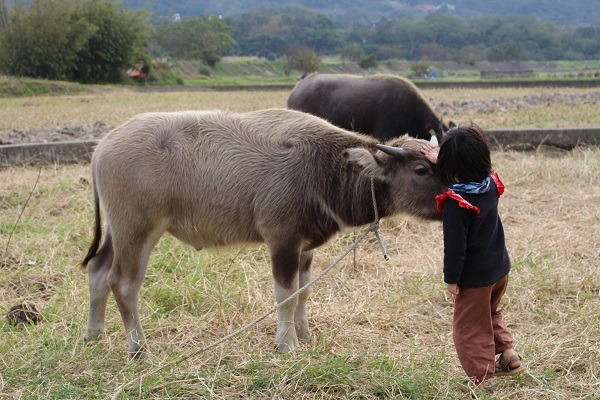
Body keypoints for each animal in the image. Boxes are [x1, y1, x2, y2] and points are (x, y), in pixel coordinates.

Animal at [79, 107, 446, 356]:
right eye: (421, 169)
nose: (456, 193)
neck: (326, 167)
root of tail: (103, 147)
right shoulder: (282, 240)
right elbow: (285, 294)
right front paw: (286, 343)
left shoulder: (305, 247)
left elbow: (303, 291)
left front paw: (303, 333)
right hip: (137, 229)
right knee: (123, 283)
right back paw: (138, 348)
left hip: (117, 231)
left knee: (98, 270)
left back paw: (94, 333)